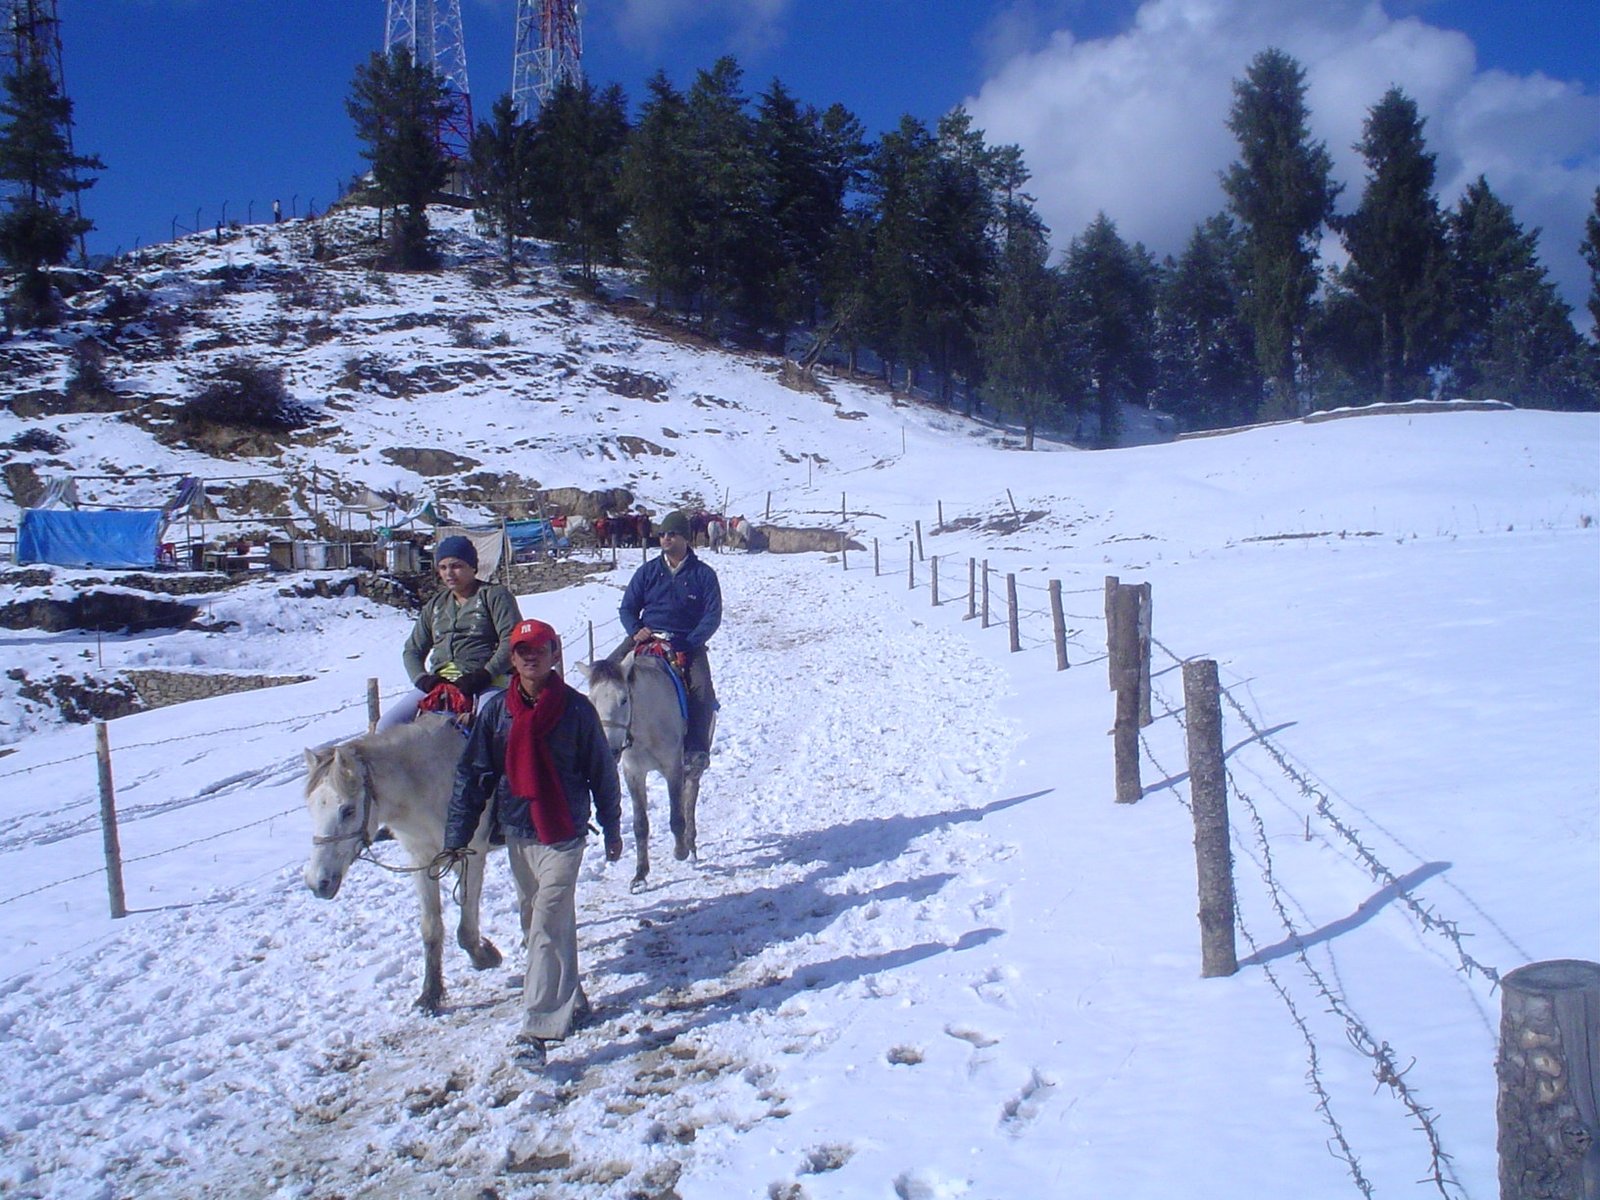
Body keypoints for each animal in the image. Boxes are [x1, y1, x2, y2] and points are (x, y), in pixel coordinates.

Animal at [300, 713, 499, 1017]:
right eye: (311, 809)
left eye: (348, 810)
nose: (317, 883)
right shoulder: (422, 860)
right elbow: (430, 928)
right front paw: (429, 996)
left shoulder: (470, 856)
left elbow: (466, 929)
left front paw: (486, 956)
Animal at [579, 659, 697, 896]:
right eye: (592, 700)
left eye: (624, 699)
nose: (609, 749)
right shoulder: (634, 773)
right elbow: (640, 825)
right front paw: (640, 875)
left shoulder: (673, 767)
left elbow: (677, 816)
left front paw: (680, 851)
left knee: (691, 794)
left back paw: (690, 844)